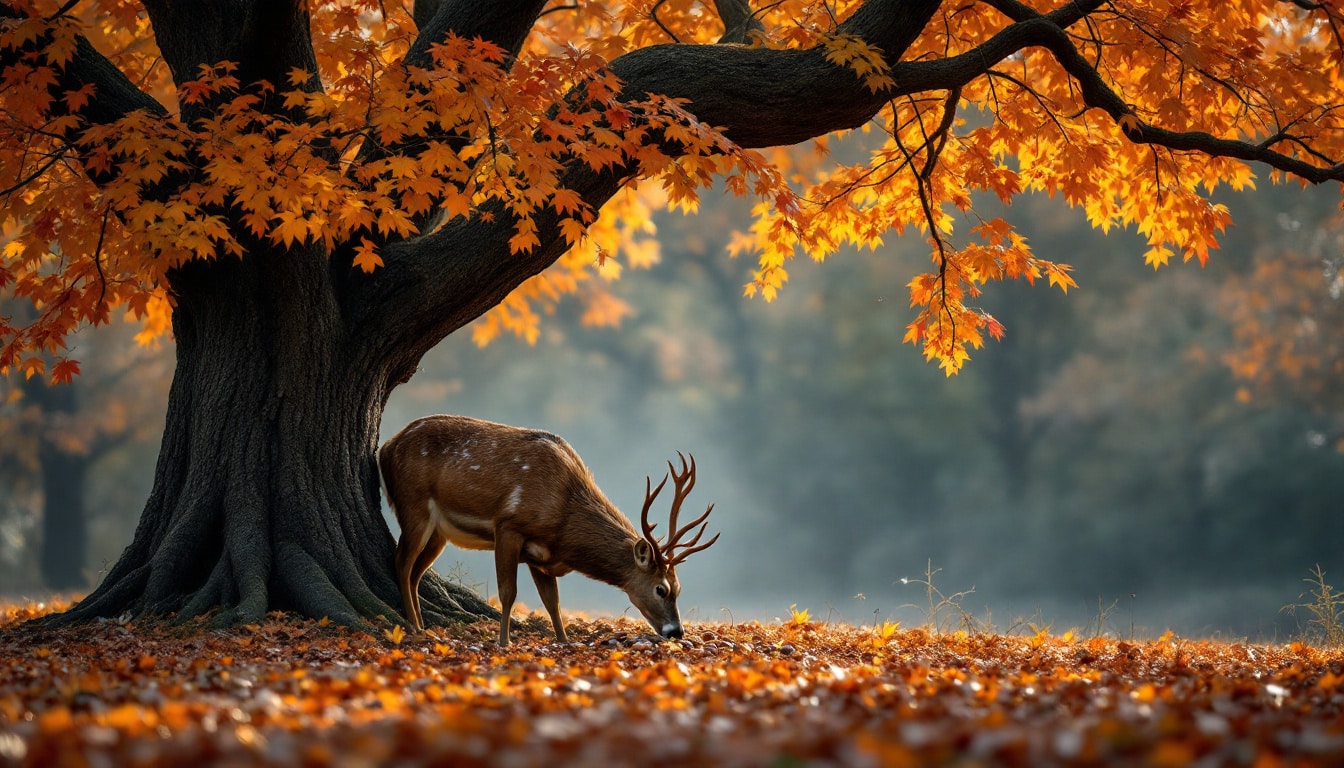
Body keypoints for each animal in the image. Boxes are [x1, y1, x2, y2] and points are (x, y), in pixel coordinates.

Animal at [373, 416, 720, 645]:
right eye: (661, 589)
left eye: (679, 588)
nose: (676, 631)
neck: (563, 521)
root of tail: (384, 449)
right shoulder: (509, 525)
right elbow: (508, 592)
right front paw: (504, 643)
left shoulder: (541, 557)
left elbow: (553, 602)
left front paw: (564, 641)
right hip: (413, 503)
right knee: (401, 562)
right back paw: (413, 628)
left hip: (439, 532)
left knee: (416, 572)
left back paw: (420, 625)